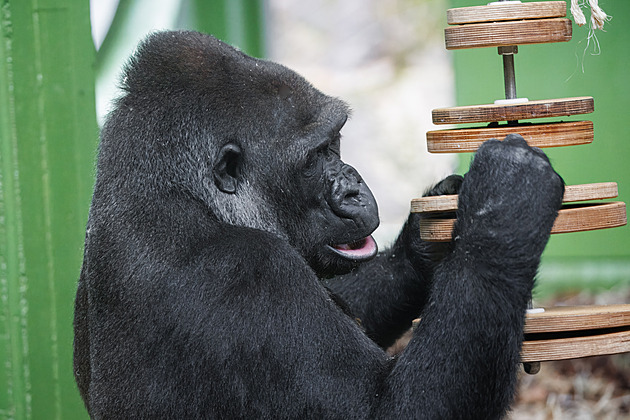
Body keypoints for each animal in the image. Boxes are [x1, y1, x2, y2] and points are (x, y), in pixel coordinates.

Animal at [74, 31, 568, 418]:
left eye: (336, 142)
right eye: (315, 156)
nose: (353, 188)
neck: (186, 197)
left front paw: (423, 244)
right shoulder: (250, 271)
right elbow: (391, 410)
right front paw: (505, 204)